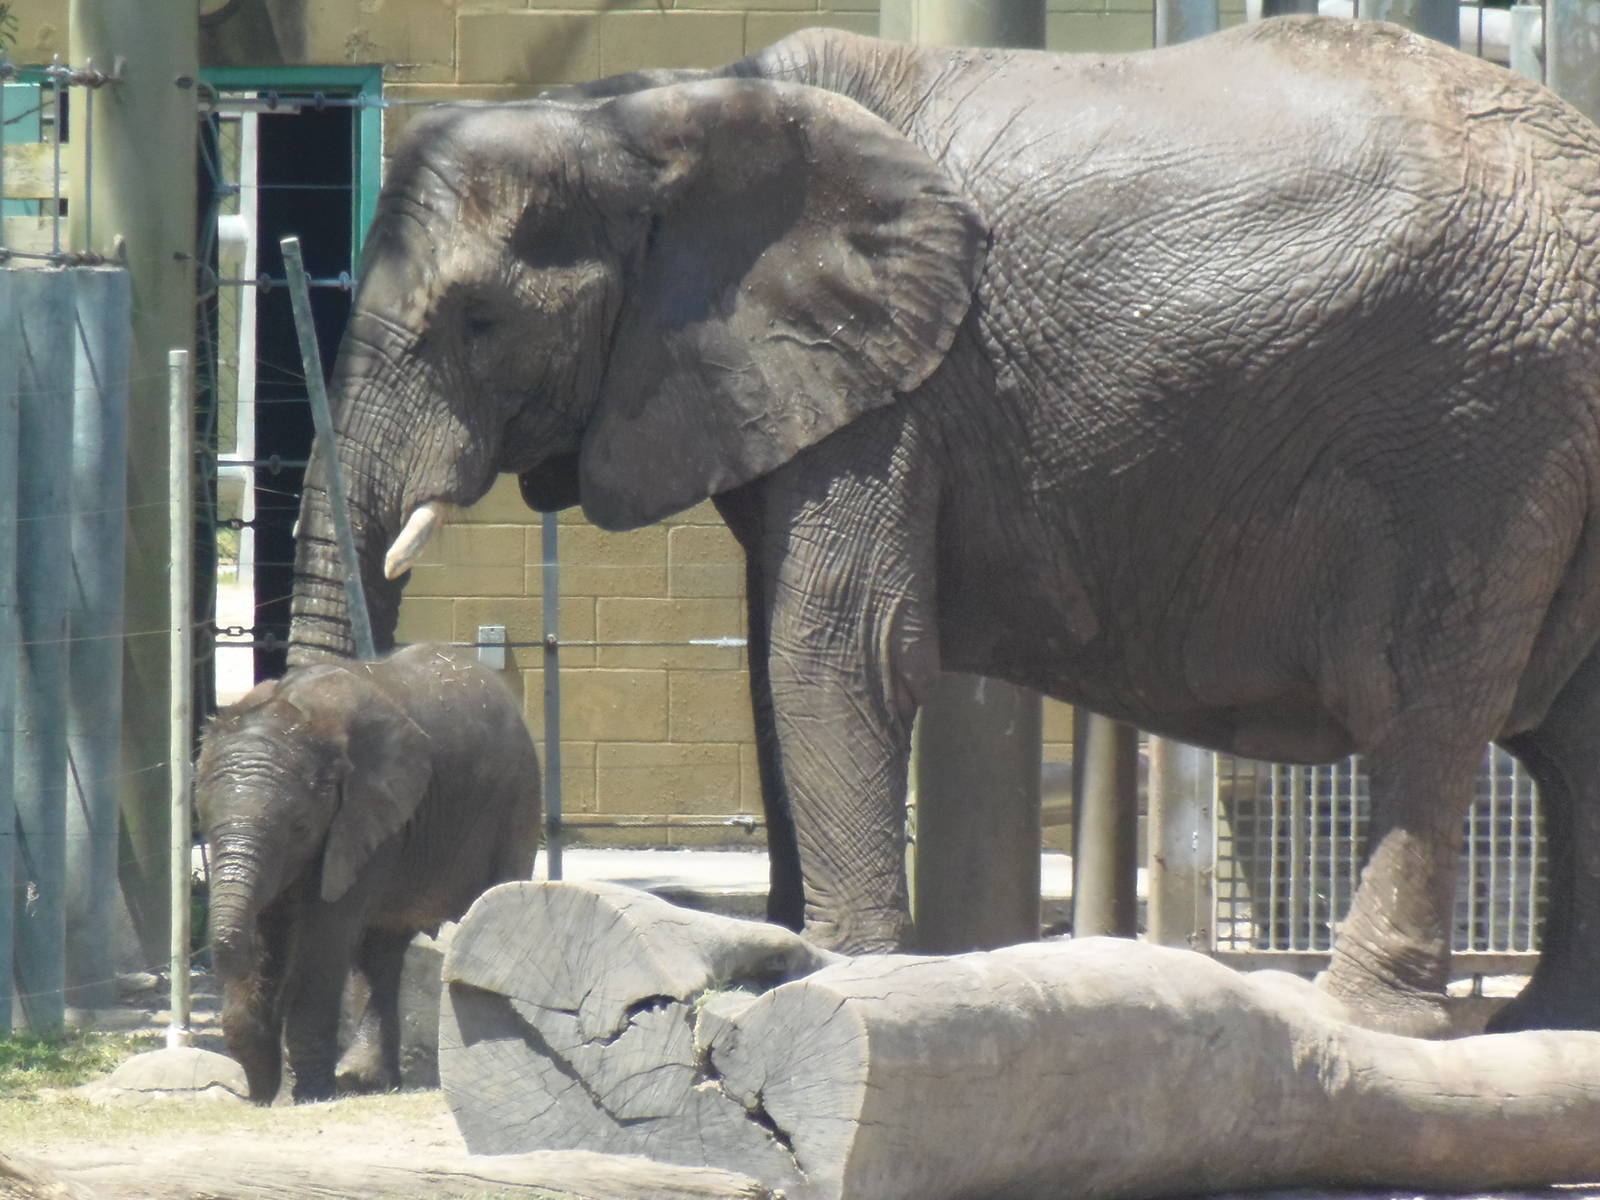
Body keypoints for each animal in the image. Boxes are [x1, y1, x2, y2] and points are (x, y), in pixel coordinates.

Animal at [196, 643, 541, 1102]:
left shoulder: (365, 819)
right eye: (204, 825)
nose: (257, 1095)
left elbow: (323, 937)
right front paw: (277, 1092)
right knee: (382, 952)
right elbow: (273, 928)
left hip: (518, 800)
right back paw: (369, 1081)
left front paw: (307, 1095)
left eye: (300, 828)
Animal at [287, 16, 1600, 1037]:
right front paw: (782, 953)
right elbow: (770, 666)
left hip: (1481, 420)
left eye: (476, 322)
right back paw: (1549, 1020)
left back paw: (1366, 1017)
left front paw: (841, 969)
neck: (650, 112)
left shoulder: (894, 392)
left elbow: (835, 650)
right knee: (1567, 733)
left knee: (1430, 712)